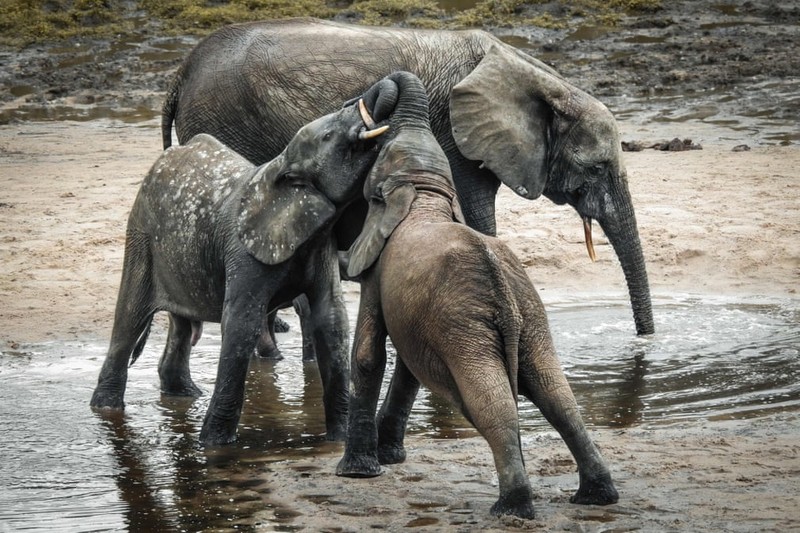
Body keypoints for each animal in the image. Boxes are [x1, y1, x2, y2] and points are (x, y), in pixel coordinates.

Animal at [90, 78, 396, 444]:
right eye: (328, 136)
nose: (366, 97)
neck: (280, 167)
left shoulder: (320, 243)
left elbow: (332, 320)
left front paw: (338, 440)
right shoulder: (243, 251)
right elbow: (241, 325)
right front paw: (215, 446)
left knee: (180, 325)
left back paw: (185, 395)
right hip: (140, 235)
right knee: (130, 316)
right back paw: (106, 410)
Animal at [162, 17, 656, 336]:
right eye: (596, 168)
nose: (643, 339)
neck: (539, 81)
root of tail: (179, 74)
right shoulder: (455, 136)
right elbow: (478, 218)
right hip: (226, 120)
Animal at [334, 71, 616, 520]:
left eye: (379, 159)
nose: (365, 104)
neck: (424, 193)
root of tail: (503, 291)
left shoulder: (377, 272)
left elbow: (367, 354)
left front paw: (357, 473)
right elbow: (407, 366)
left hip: (465, 326)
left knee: (492, 402)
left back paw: (511, 509)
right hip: (530, 316)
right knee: (558, 396)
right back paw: (596, 496)